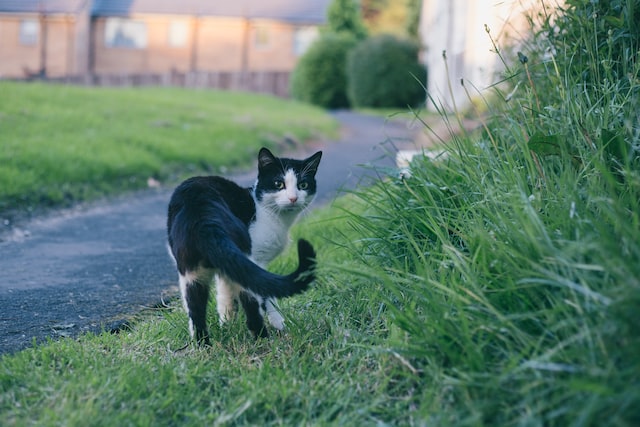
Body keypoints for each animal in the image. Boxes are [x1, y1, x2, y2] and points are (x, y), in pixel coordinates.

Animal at [166, 147, 322, 344]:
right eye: (279, 184)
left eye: (303, 185)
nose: (293, 198)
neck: (267, 212)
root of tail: (204, 217)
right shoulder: (256, 259)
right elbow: (267, 297)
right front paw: (279, 324)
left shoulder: (227, 267)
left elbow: (225, 295)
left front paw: (227, 324)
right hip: (244, 259)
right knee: (252, 302)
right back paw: (263, 339)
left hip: (191, 271)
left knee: (195, 308)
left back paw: (203, 344)